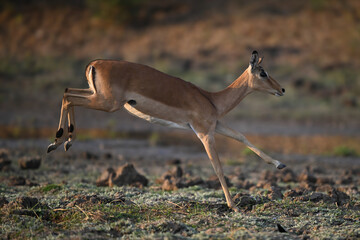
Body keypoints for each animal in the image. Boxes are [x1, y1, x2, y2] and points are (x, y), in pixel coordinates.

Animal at [47, 50, 286, 212]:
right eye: (263, 73)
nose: (282, 89)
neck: (212, 100)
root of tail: (94, 63)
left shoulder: (215, 125)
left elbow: (241, 136)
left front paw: (279, 164)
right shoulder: (204, 133)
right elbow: (217, 167)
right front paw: (233, 206)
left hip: (96, 96)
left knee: (67, 92)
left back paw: (62, 142)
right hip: (107, 103)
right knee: (68, 98)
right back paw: (59, 141)